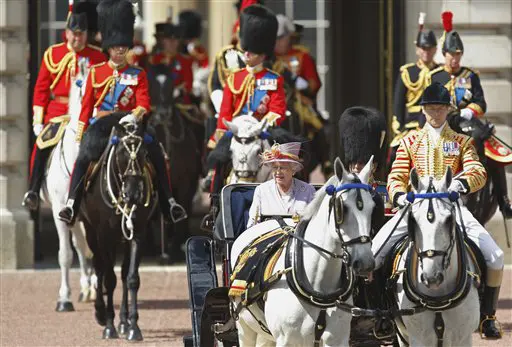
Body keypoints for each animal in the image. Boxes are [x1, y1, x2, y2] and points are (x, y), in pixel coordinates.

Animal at [79, 121, 156, 342]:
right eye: (121, 152)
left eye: (145, 152)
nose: (134, 194)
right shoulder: (104, 235)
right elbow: (109, 279)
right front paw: (109, 326)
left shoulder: (138, 233)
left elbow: (131, 278)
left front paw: (133, 327)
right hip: (91, 232)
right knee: (99, 268)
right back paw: (101, 313)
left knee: (121, 273)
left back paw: (123, 322)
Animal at [146, 64, 204, 262]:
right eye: (151, 85)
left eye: (171, 85)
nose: (163, 114)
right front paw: (159, 251)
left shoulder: (185, 183)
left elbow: (183, 208)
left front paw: (175, 250)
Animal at [230, 158, 374, 347]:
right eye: (342, 208)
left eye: (373, 207)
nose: (365, 262)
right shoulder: (287, 341)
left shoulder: (337, 340)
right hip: (244, 328)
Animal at [392, 167, 480, 346]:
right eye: (413, 220)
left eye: (449, 219)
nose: (431, 278)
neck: (438, 301)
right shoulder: (418, 338)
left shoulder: (463, 338)